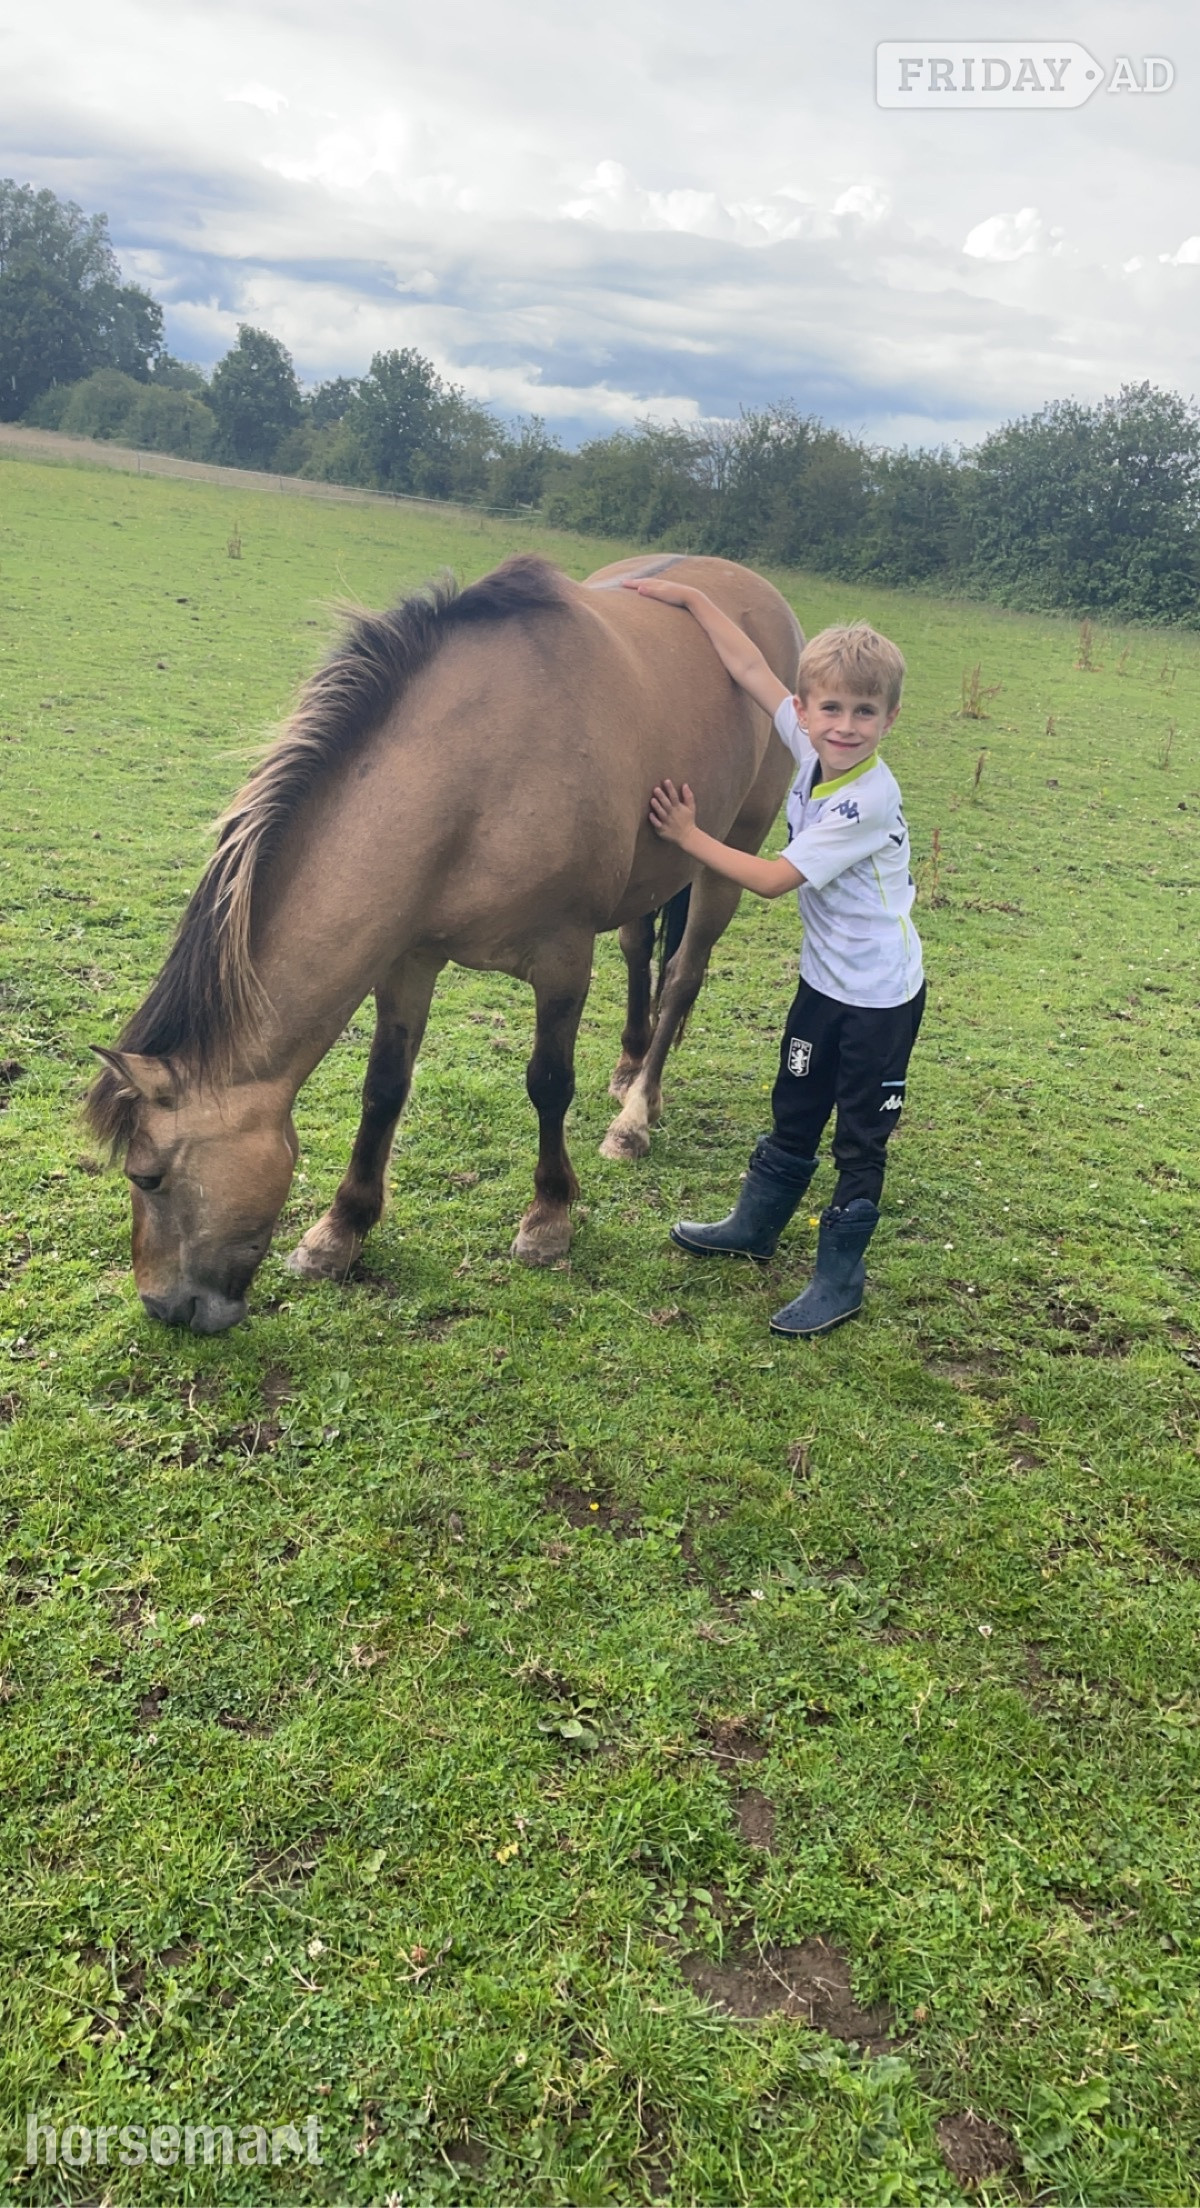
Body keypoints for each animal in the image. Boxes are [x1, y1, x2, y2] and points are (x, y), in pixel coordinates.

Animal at [86, 551, 802, 1333]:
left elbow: (548, 1083)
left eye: (148, 1175)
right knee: (642, 949)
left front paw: (548, 1219)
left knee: (682, 978)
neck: (476, 776)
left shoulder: (562, 961)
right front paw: (338, 1232)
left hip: (730, 855)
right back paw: (629, 1069)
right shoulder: (408, 960)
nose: (162, 1306)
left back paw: (635, 1116)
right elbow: (383, 1088)